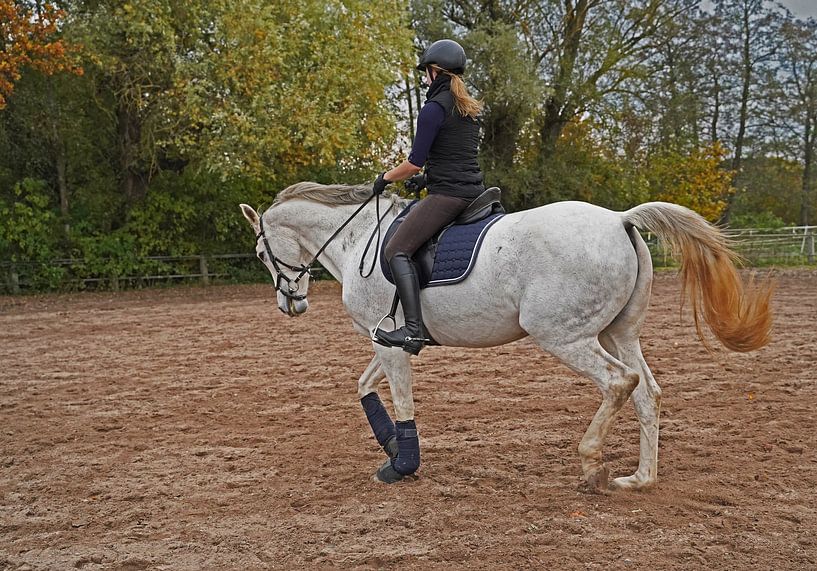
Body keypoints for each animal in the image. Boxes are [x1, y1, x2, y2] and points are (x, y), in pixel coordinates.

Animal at [239, 182, 772, 492]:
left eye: (262, 253)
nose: (290, 304)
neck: (359, 241)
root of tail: (619, 219)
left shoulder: (385, 341)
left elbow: (401, 399)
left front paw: (401, 464)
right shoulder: (386, 340)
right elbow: (365, 387)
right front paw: (392, 447)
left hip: (564, 336)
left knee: (620, 383)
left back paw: (591, 465)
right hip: (618, 333)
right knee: (648, 392)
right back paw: (640, 478)